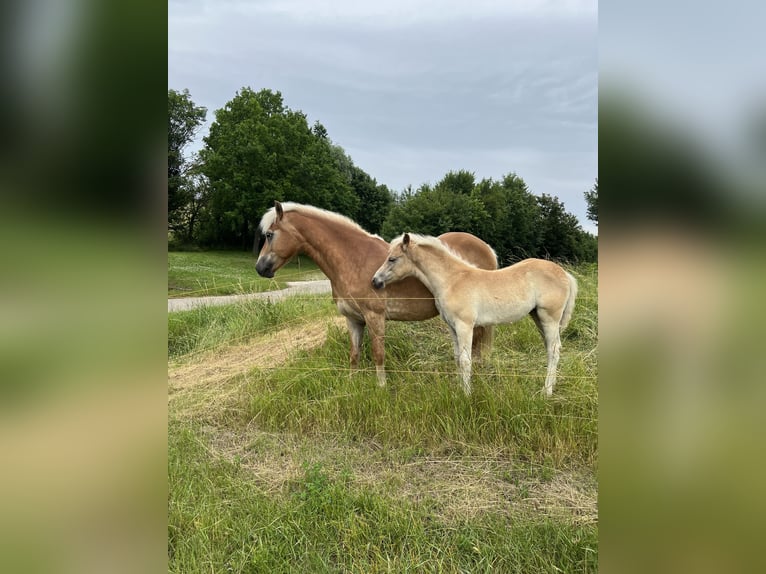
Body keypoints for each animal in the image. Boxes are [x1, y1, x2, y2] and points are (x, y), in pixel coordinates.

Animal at [255, 202, 500, 388]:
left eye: (269, 234)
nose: (260, 268)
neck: (353, 258)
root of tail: (487, 248)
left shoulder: (375, 316)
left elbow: (378, 354)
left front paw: (381, 388)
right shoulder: (353, 319)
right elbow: (354, 355)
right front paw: (351, 384)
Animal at [370, 233, 576, 396]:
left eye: (392, 259)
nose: (375, 281)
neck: (452, 280)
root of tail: (565, 274)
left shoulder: (465, 325)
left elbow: (466, 360)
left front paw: (467, 394)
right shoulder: (453, 327)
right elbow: (457, 359)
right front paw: (460, 389)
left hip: (549, 318)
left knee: (554, 350)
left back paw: (546, 391)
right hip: (538, 317)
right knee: (551, 349)